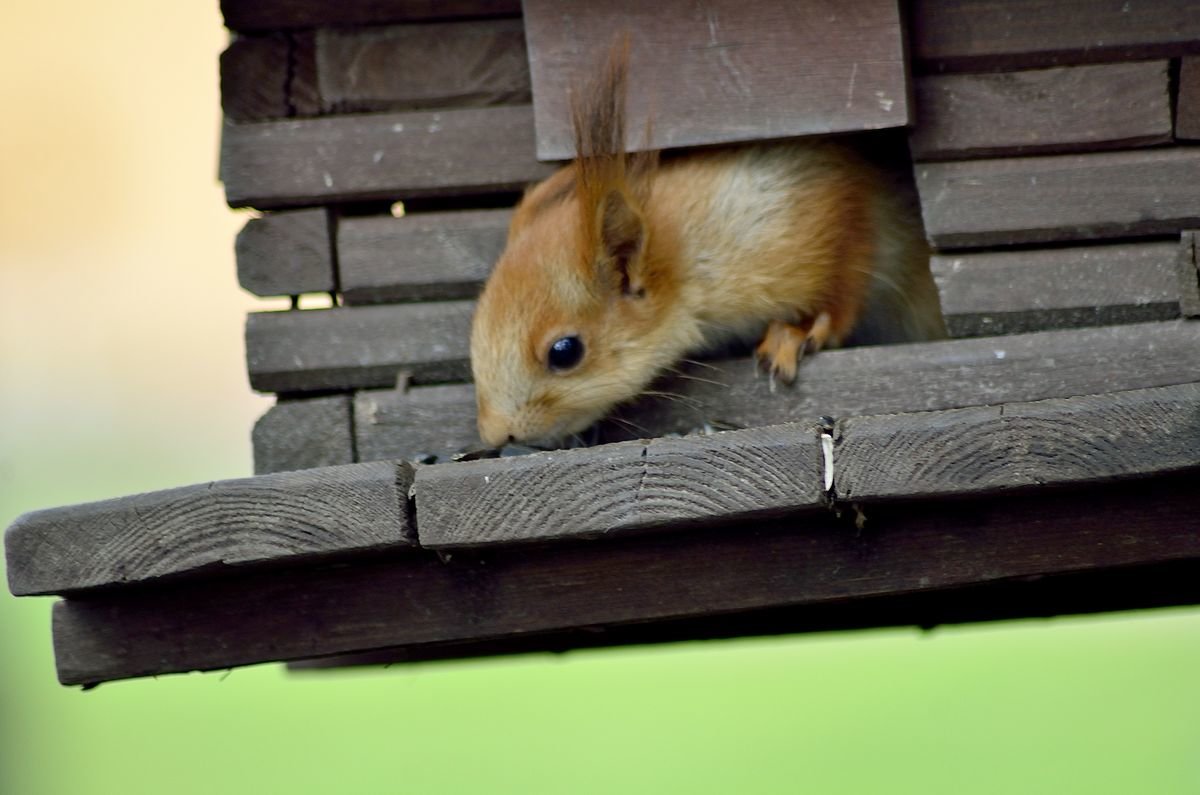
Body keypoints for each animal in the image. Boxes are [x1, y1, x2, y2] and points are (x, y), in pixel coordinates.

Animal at [468, 46, 945, 451]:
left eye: (565, 352)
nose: (496, 436)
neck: (688, 250)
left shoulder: (817, 216)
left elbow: (846, 274)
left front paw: (799, 332)